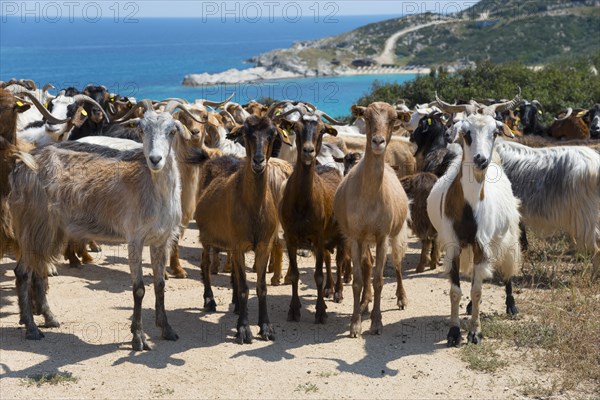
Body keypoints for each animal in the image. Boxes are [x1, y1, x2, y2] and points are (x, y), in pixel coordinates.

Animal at [5, 100, 200, 350]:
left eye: (172, 130)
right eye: (142, 129)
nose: (155, 159)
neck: (153, 191)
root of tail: (21, 167)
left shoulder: (161, 240)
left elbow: (159, 285)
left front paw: (167, 329)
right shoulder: (135, 239)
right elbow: (139, 288)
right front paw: (138, 337)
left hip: (51, 230)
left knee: (39, 270)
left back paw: (49, 318)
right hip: (32, 225)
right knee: (22, 272)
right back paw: (32, 328)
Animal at [193, 115, 290, 344]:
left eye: (272, 134)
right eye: (246, 133)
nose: (258, 161)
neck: (253, 209)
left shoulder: (263, 244)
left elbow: (260, 286)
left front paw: (266, 328)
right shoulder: (238, 244)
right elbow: (246, 287)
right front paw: (244, 330)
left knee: (234, 272)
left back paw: (236, 304)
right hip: (206, 235)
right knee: (205, 263)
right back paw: (209, 300)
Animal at [278, 110, 350, 324]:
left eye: (321, 131)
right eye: (296, 128)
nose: (308, 151)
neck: (302, 204)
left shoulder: (317, 236)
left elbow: (318, 275)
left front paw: (320, 311)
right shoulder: (290, 237)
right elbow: (295, 274)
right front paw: (294, 309)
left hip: (340, 235)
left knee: (339, 260)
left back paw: (338, 292)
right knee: (327, 259)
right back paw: (329, 289)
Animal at [332, 102, 412, 338]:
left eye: (394, 119)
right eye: (366, 118)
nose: (378, 142)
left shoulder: (382, 236)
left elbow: (378, 280)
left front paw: (377, 323)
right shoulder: (355, 236)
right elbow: (359, 280)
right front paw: (355, 323)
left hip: (397, 233)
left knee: (397, 263)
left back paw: (401, 298)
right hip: (364, 239)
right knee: (367, 264)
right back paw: (364, 304)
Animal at [426, 113, 520, 346]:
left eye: (495, 133)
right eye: (466, 133)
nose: (480, 159)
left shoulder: (481, 246)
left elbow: (477, 291)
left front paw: (475, 332)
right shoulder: (453, 245)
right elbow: (455, 291)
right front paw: (453, 332)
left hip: (508, 237)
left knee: (507, 269)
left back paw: (511, 305)